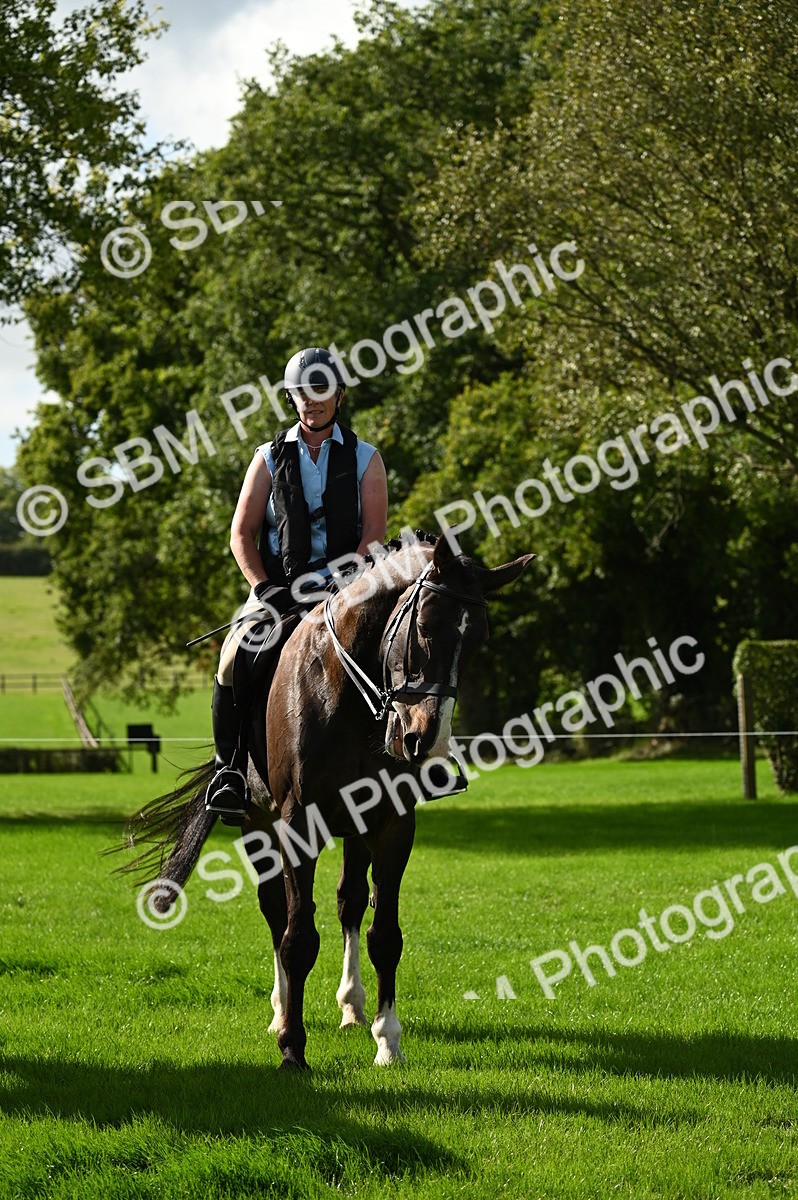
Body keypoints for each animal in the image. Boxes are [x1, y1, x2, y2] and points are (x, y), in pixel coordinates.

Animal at [122, 532, 534, 1070]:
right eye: (424, 627)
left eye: (478, 642)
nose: (424, 741)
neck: (353, 693)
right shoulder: (297, 824)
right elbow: (298, 938)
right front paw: (292, 1049)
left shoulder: (392, 824)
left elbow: (385, 935)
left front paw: (388, 1040)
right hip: (257, 823)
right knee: (276, 910)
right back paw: (280, 1011)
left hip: (355, 830)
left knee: (350, 902)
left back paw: (352, 1007)